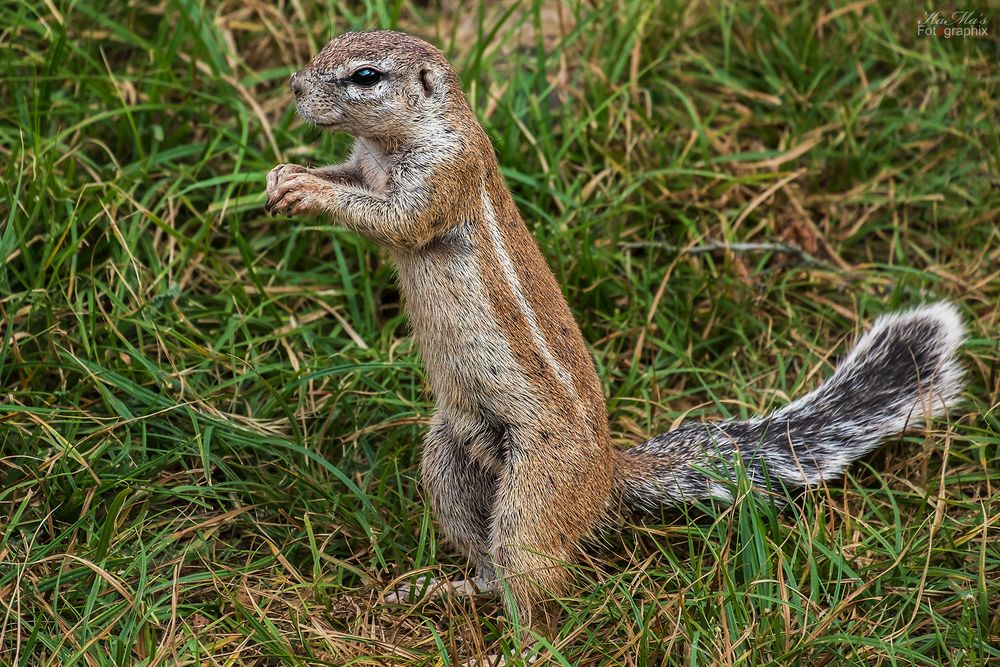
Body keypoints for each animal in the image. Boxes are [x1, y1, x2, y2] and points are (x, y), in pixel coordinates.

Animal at [264, 32, 960, 632]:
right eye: (330, 45)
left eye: (366, 76)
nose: (294, 86)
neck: (393, 144)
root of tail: (605, 473)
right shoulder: (364, 164)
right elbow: (352, 184)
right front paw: (287, 176)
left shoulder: (442, 178)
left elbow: (395, 220)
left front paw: (307, 190)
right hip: (450, 464)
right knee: (486, 556)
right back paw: (447, 588)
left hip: (536, 490)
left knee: (537, 577)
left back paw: (522, 639)